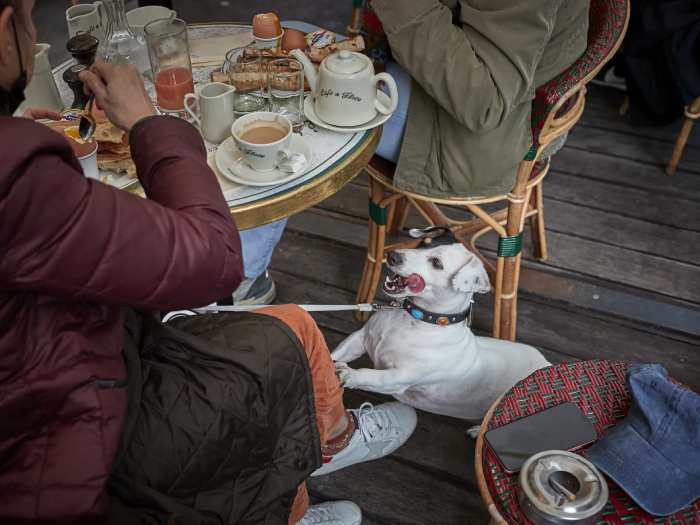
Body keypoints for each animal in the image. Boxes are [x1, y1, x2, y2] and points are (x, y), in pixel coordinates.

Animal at [334, 231, 552, 420]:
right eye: (424, 242)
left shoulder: (398, 379)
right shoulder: (360, 338)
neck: (416, 318)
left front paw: (350, 375)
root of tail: (546, 363)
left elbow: (371, 376)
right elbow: (336, 353)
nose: (392, 255)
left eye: (437, 263)